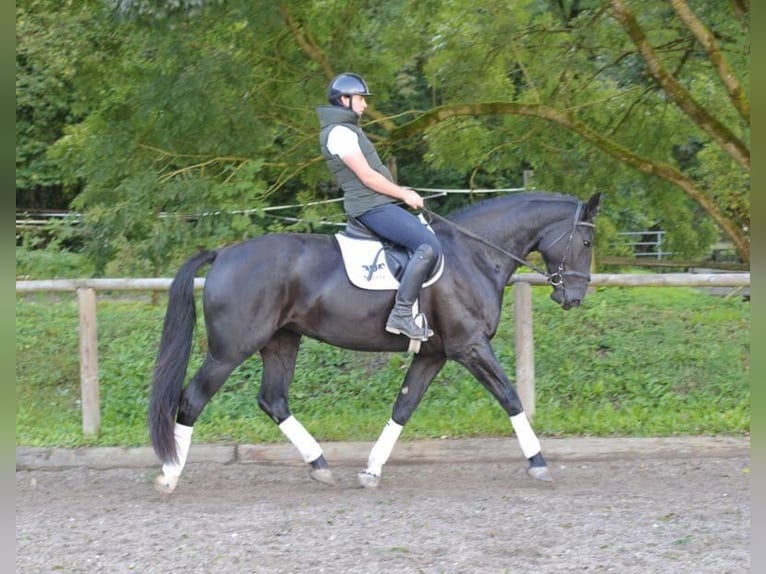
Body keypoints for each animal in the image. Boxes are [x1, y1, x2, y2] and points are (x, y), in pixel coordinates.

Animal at [150, 191, 604, 492]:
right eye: (585, 242)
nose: (574, 298)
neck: (473, 255)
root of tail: (224, 254)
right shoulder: (470, 347)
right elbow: (510, 397)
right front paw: (538, 462)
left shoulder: (434, 355)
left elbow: (403, 406)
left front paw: (371, 470)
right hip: (230, 350)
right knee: (192, 400)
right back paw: (170, 474)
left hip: (282, 341)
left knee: (273, 400)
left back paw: (319, 464)